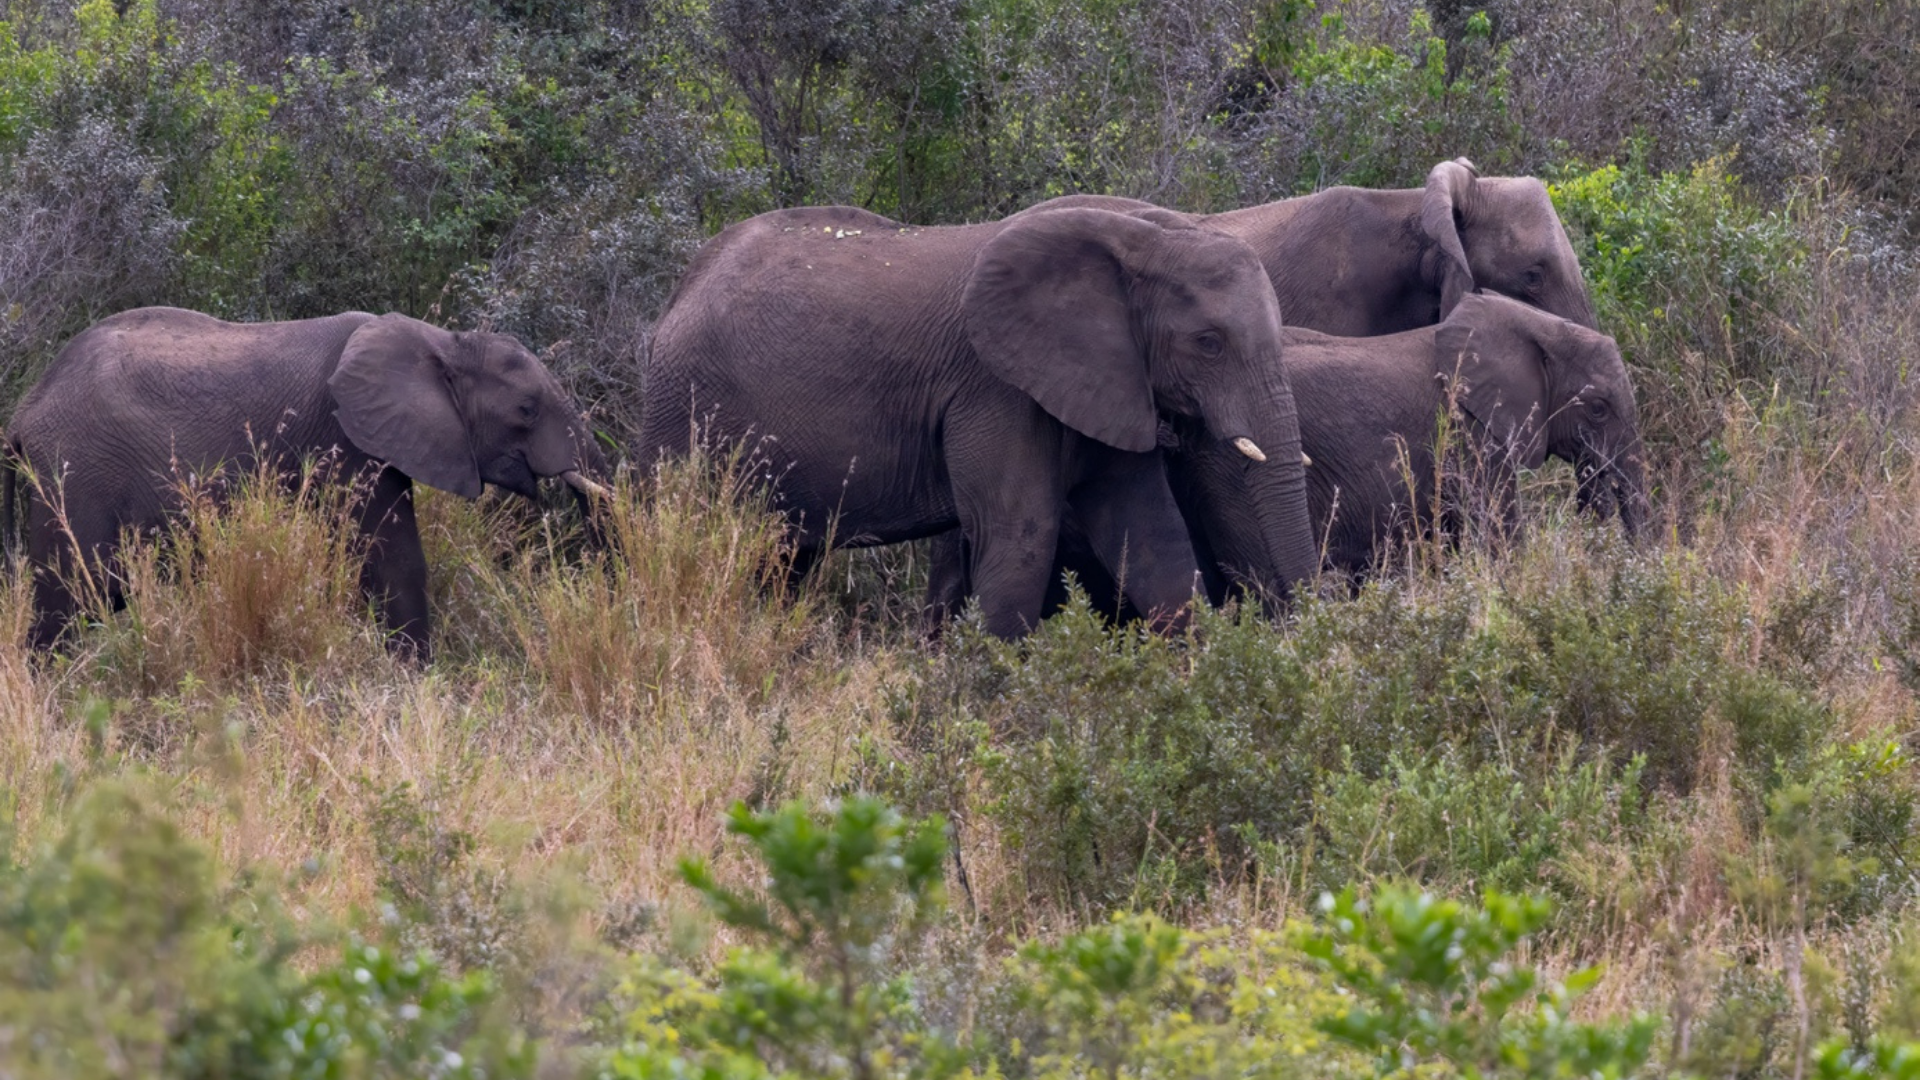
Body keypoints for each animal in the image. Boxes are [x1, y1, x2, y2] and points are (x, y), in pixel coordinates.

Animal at [3, 307, 610, 659]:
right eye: (527, 410)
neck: (443, 341)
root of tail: (25, 412)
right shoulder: (347, 440)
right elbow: (392, 561)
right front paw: (419, 682)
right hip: (75, 476)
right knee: (73, 595)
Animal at [636, 203, 1319, 639]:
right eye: (1209, 343)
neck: (1143, 235)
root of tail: (677, 293)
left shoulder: (1110, 380)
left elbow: (1153, 536)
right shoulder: (995, 388)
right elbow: (1020, 538)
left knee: (781, 563)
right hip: (685, 416)